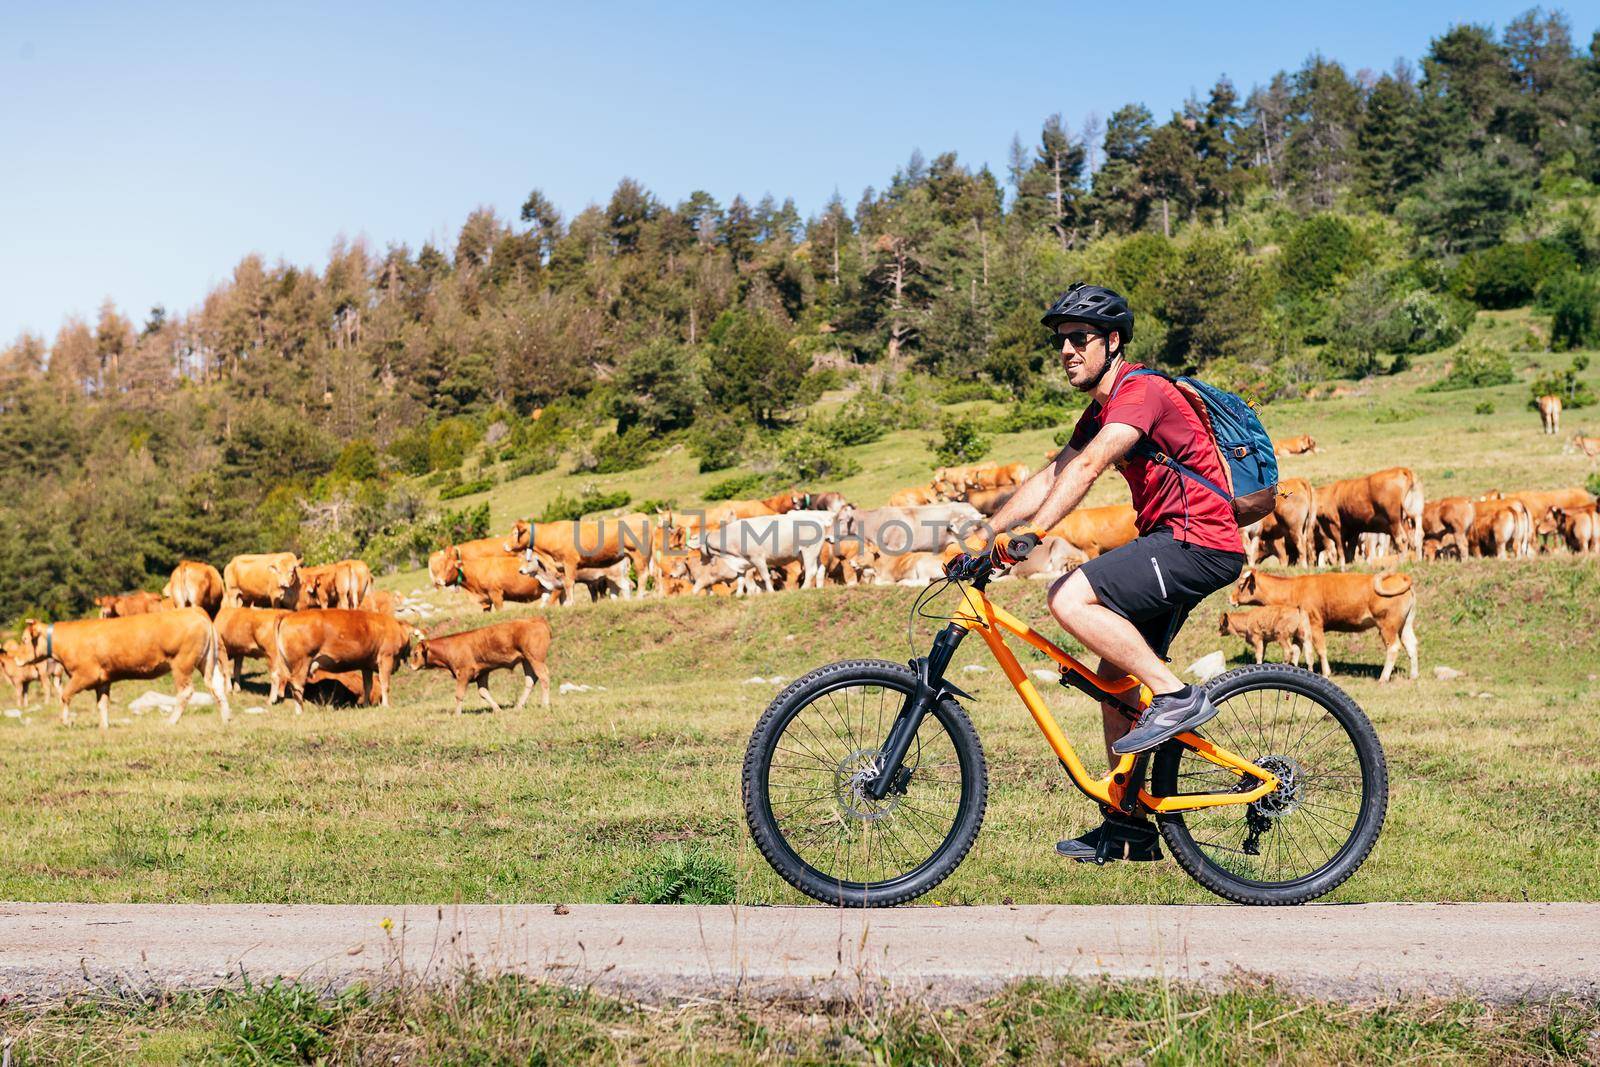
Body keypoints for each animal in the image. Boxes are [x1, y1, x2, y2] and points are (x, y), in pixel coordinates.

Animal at [17, 614, 230, 729]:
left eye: (25, 639)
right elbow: (102, 704)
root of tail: (201, 616)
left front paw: (66, 722)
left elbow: (65, 695)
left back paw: (171, 721)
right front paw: (104, 727)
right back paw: (226, 718)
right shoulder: (103, 679)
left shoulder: (85, 675)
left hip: (182, 663)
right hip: (207, 662)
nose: (18, 659)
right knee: (217, 687)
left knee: (185, 692)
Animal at [270, 607, 409, 716]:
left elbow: (368, 686)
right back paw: (300, 711)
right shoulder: (386, 658)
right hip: (301, 663)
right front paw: (386, 706)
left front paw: (366, 705)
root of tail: (288, 615)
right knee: (297, 685)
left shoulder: (366, 666)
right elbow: (385, 684)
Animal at [409, 614, 553, 713]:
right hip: (527, 660)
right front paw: (497, 709)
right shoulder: (482, 673)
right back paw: (518, 706)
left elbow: (459, 695)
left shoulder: (464, 672)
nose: (411, 666)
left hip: (536, 659)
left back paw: (545, 705)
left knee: (544, 677)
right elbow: (483, 692)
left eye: (415, 653)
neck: (450, 647)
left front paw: (457, 715)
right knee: (530, 680)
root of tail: (535, 619)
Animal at [1228, 566, 1420, 684]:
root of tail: (1399, 576)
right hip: (1405, 625)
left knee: (1393, 647)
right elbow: (1297, 650)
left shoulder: (1315, 624)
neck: (1292, 588)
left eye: (1240, 584)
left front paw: (1326, 673)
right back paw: (1413, 676)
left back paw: (1383, 678)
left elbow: (1320, 650)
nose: (1230, 598)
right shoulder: (1299, 631)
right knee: (1411, 644)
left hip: (1387, 625)